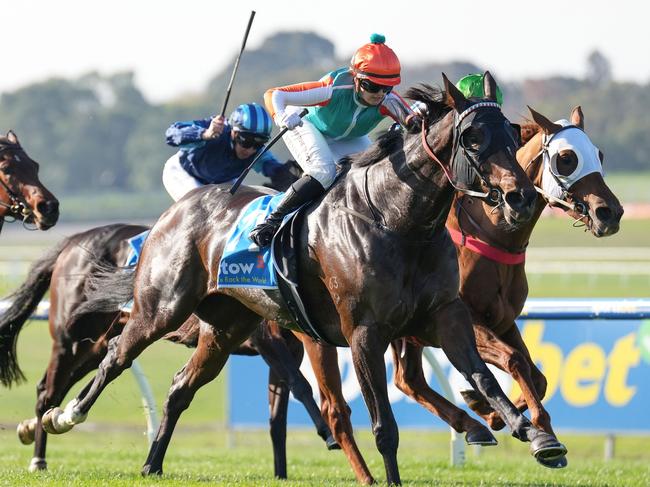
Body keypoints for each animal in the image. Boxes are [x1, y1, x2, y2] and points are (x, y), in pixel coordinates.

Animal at [41, 73, 556, 487]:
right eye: (472, 136)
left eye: (511, 132)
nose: (520, 197)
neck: (397, 220)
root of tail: (174, 212)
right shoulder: (363, 332)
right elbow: (383, 425)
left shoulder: (445, 317)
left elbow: (485, 377)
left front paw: (535, 435)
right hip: (160, 308)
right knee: (114, 357)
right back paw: (61, 416)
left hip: (225, 328)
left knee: (180, 387)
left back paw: (151, 464)